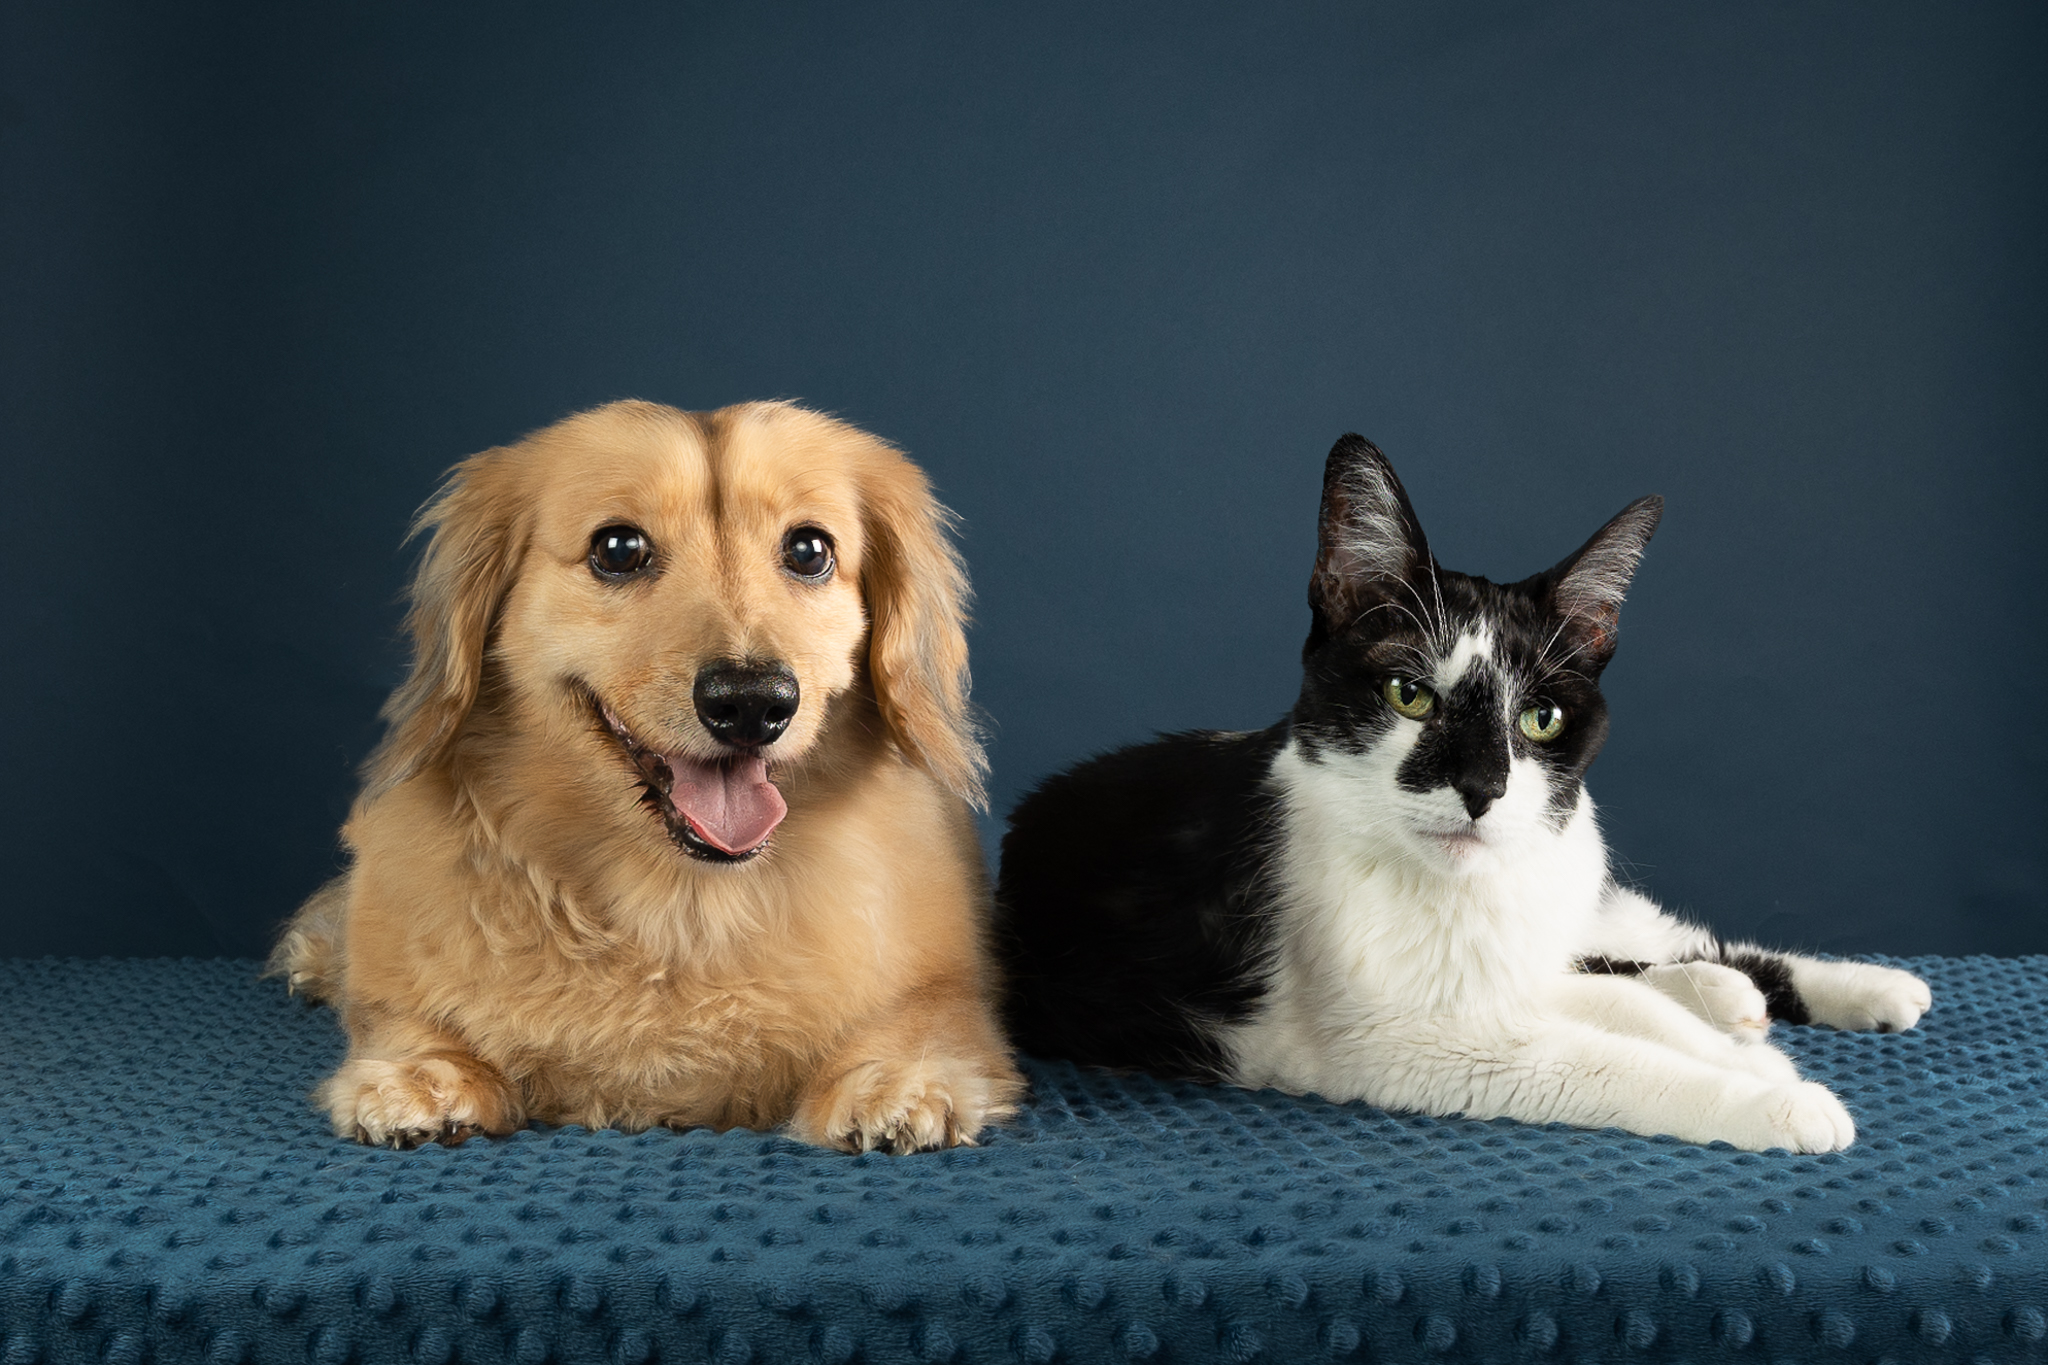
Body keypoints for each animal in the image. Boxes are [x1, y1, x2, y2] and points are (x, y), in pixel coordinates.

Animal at [276, 397, 1024, 1154]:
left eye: (810, 551)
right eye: (618, 549)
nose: (751, 701)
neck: (681, 900)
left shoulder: (948, 987)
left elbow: (923, 1019)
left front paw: (893, 1082)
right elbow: (402, 1015)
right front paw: (425, 1077)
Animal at [999, 435, 1925, 1154]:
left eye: (1541, 717)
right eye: (1409, 695)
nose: (1482, 788)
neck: (1464, 893)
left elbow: (1626, 1003)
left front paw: (1755, 1059)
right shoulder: (1414, 1047)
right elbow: (1607, 1050)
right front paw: (1773, 1093)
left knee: (1660, 940)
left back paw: (1865, 988)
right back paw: (1738, 1004)